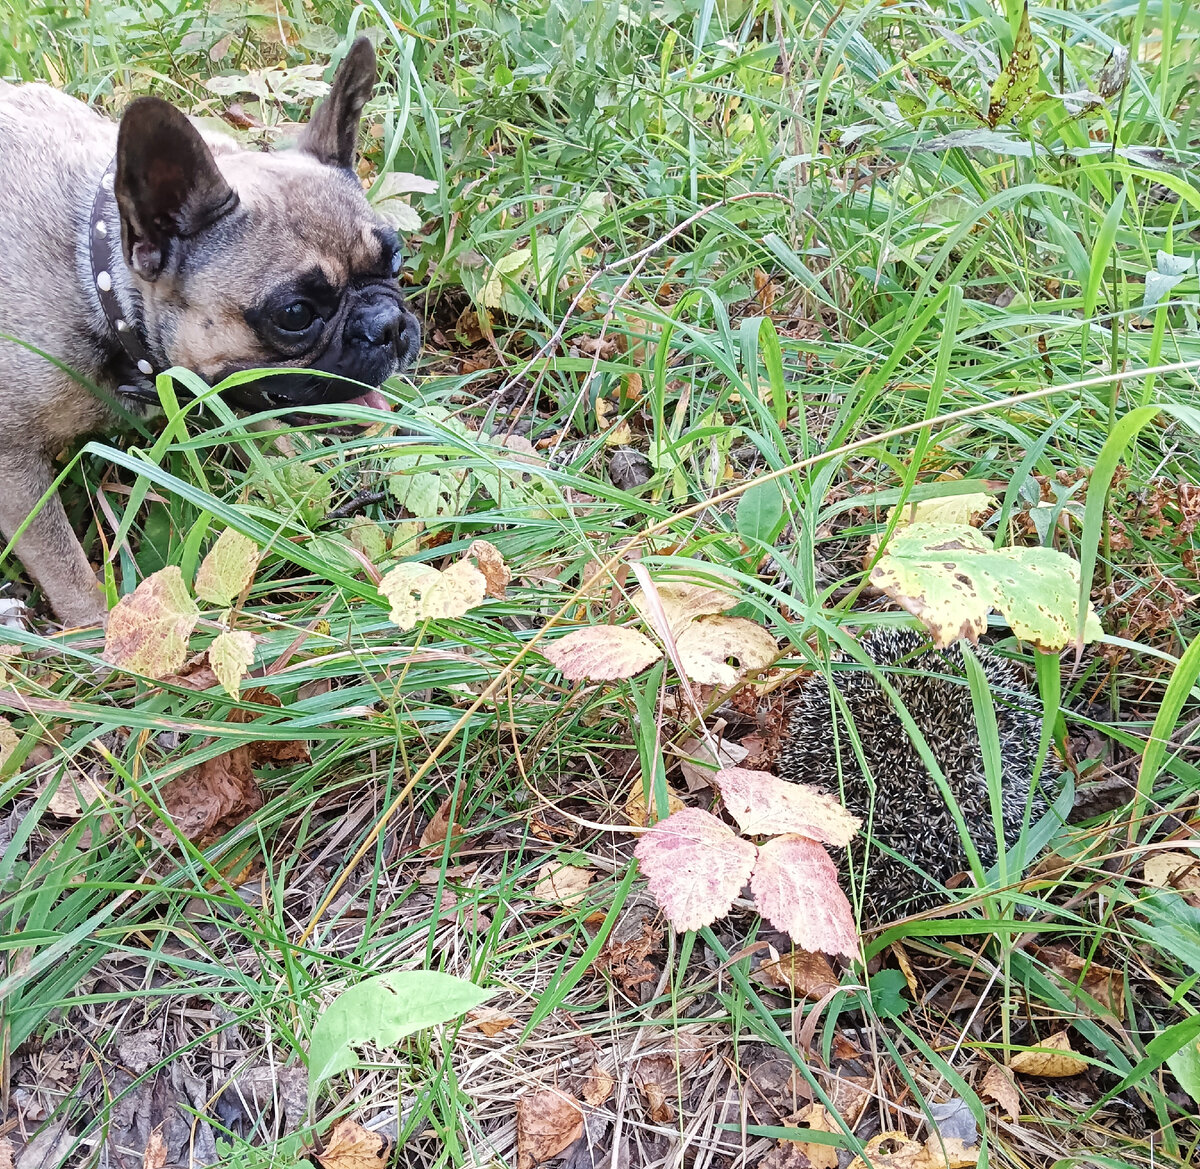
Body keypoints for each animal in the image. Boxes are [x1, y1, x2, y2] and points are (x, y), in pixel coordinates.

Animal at [0, 39, 422, 633]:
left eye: (396, 259)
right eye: (295, 313)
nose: (389, 324)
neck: (98, 277)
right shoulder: (14, 469)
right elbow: (61, 558)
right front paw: (96, 627)